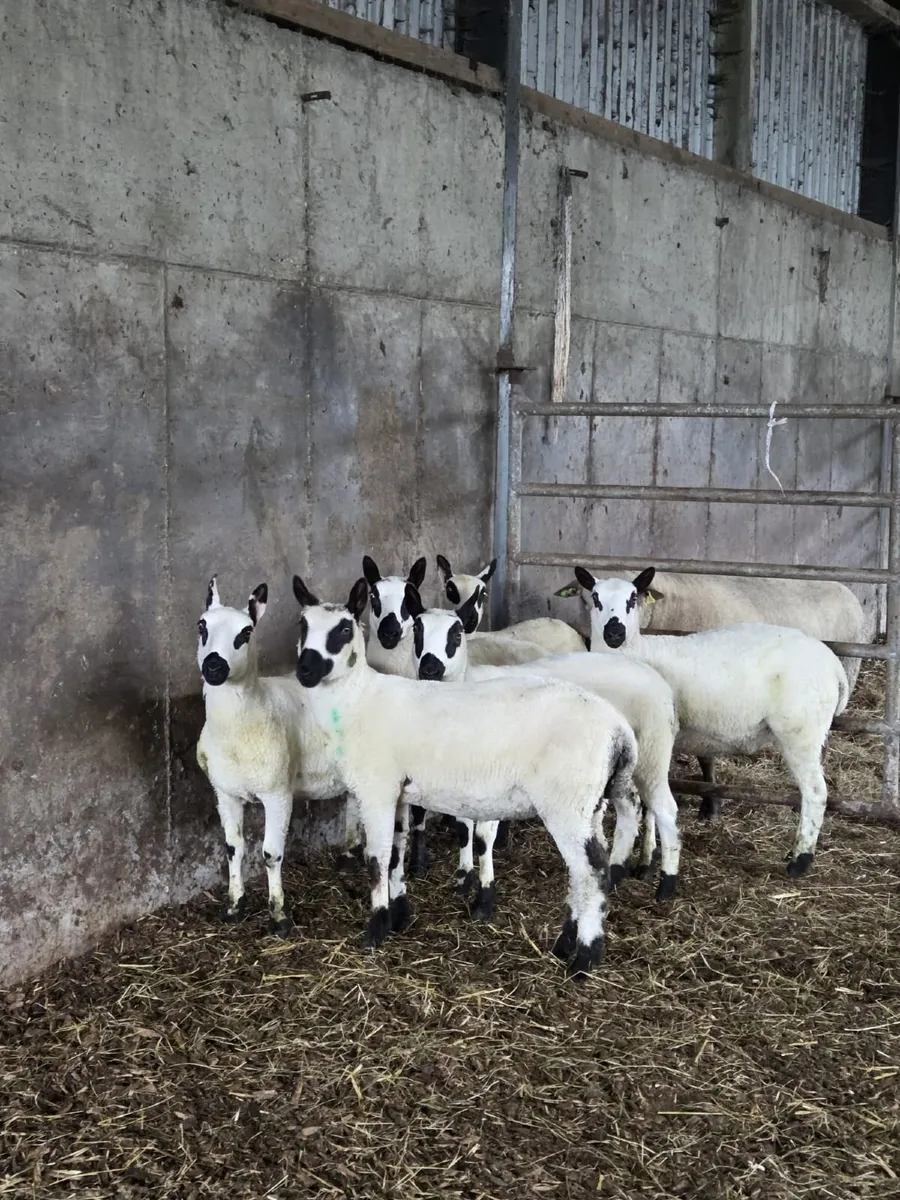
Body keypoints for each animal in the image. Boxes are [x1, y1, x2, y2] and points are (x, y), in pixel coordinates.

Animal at [195, 576, 346, 934]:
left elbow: (270, 854)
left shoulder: (278, 793)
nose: (214, 665)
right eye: (201, 626)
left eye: (246, 632)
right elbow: (233, 848)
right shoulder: (224, 792)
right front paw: (234, 905)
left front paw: (279, 916)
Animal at [291, 573, 640, 977]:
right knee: (582, 871)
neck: (356, 701)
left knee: (593, 873)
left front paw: (375, 930)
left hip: (568, 801)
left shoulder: (376, 788)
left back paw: (584, 958)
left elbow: (377, 859)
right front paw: (400, 915)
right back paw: (565, 942)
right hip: (590, 803)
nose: (306, 671)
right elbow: (395, 855)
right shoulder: (399, 791)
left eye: (344, 629)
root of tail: (618, 729)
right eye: (303, 625)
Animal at [406, 584, 681, 910]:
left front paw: (484, 897)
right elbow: (463, 827)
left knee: (665, 809)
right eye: (417, 630)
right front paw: (464, 880)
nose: (430, 667)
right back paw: (627, 868)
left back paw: (665, 884)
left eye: (456, 633)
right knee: (637, 806)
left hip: (653, 748)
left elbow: (484, 835)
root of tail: (659, 681)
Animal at [573, 566, 850, 876]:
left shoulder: (653, 738)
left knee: (815, 792)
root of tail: (833, 664)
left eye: (633, 598)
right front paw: (648, 858)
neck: (636, 653)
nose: (614, 633)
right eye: (595, 598)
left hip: (800, 732)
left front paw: (646, 860)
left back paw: (799, 861)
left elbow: (649, 802)